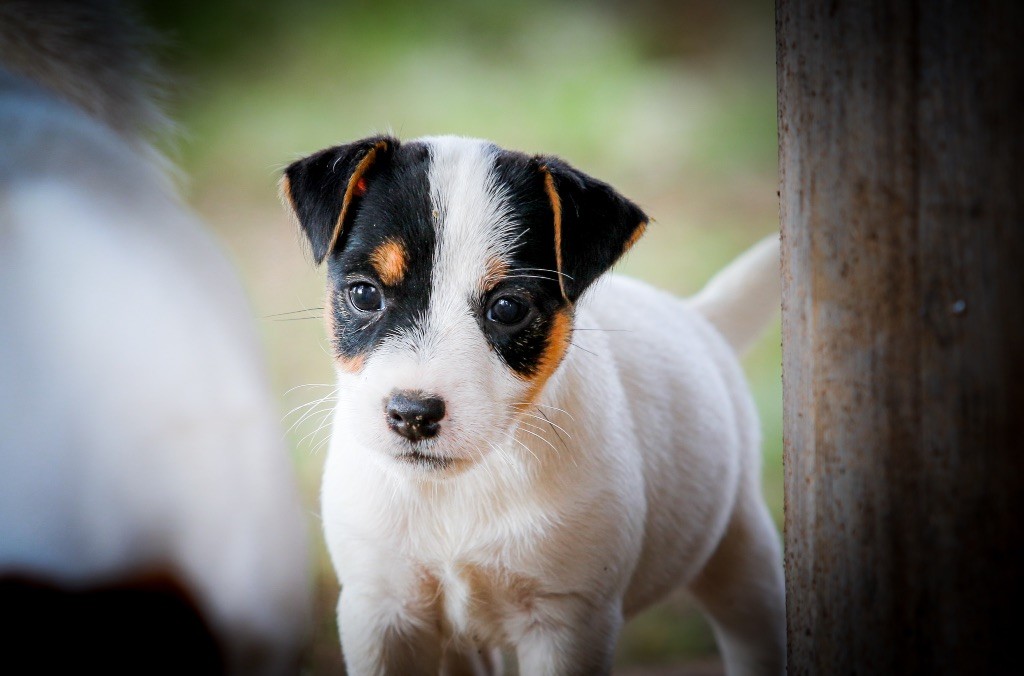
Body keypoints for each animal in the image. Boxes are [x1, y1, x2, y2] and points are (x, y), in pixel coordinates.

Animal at [280, 134, 782, 671]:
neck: (461, 489)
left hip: (742, 554)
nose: (412, 415)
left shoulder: (565, 621)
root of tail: (698, 316)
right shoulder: (381, 608)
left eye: (507, 307)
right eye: (364, 294)